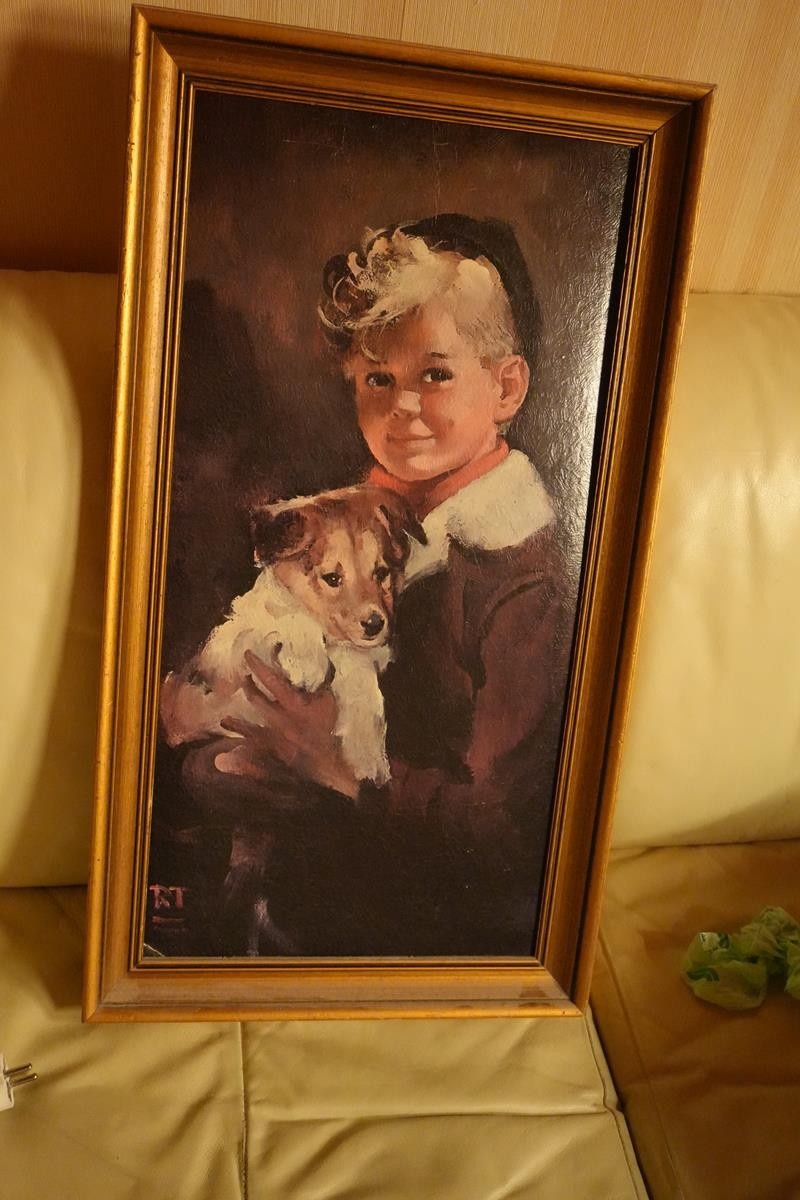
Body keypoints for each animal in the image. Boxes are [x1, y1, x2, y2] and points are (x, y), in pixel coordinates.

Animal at [160, 485, 425, 786]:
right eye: (332, 578)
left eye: (381, 573)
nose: (374, 624)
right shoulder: (225, 660)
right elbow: (289, 615)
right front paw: (307, 662)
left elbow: (358, 670)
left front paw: (366, 752)